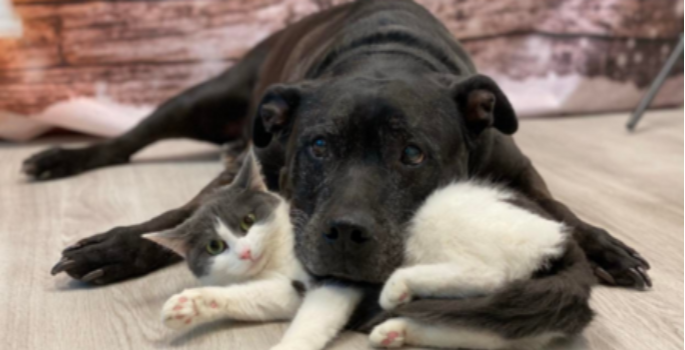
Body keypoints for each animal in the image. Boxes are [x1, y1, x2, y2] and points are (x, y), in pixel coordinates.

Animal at [33, 0, 652, 288]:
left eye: (412, 154)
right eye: (319, 146)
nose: (347, 234)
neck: (386, 56)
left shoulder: (515, 168)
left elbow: (562, 210)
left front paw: (604, 248)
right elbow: (182, 214)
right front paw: (117, 247)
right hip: (208, 97)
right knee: (132, 137)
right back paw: (60, 156)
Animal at [142, 152, 360, 350]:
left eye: (248, 220)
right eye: (215, 247)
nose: (245, 252)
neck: (277, 261)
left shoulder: (331, 266)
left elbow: (315, 315)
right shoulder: (288, 289)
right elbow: (266, 297)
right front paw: (191, 305)